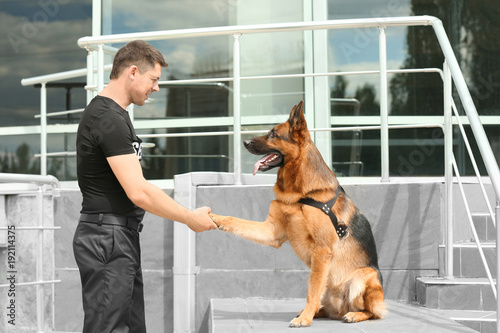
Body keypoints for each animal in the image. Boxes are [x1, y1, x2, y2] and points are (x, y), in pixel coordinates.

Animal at [209, 100, 384, 326]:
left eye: (273, 134)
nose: (245, 141)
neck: (300, 194)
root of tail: (340, 309)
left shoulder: (322, 251)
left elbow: (312, 290)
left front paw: (305, 319)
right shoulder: (272, 232)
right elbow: (236, 220)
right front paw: (214, 217)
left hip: (364, 275)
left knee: (372, 311)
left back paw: (352, 314)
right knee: (326, 304)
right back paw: (314, 311)